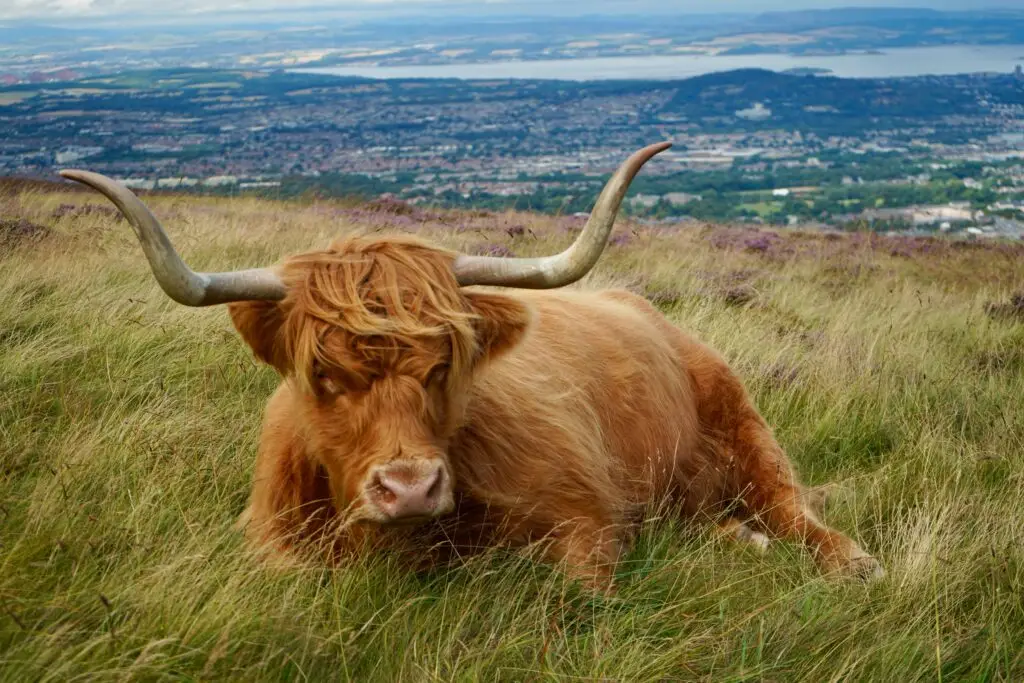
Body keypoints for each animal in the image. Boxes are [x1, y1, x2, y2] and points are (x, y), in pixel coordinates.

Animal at [60, 142, 884, 591]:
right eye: (323, 376)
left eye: (441, 368)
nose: (410, 487)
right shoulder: (266, 538)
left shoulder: (585, 514)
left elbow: (579, 594)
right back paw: (736, 540)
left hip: (744, 424)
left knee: (792, 508)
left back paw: (850, 562)